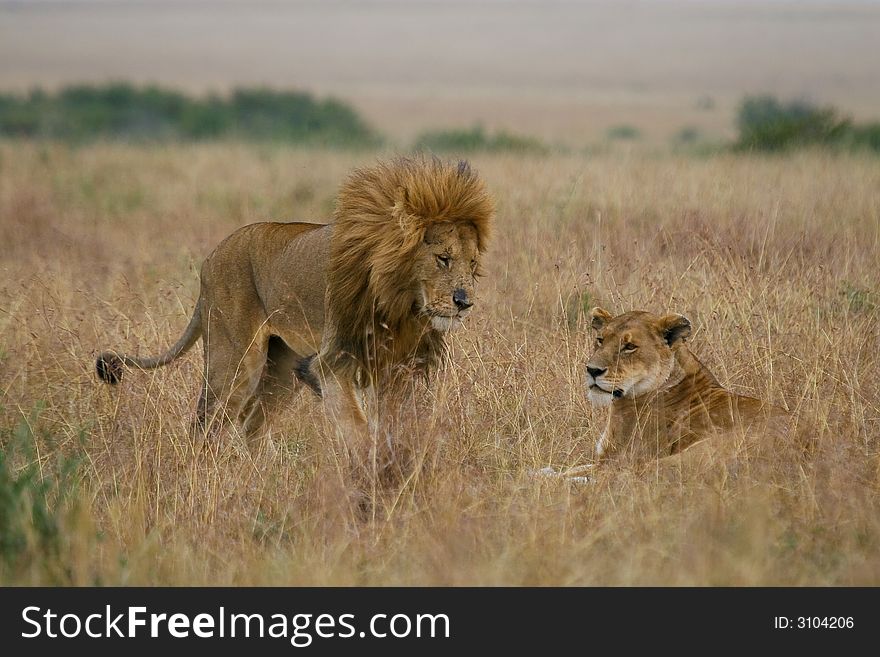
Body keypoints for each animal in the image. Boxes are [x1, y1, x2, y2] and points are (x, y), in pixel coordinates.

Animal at [98, 157, 496, 462]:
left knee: (252, 424)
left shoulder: (396, 367)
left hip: (283, 366)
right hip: (236, 359)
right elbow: (357, 424)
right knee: (208, 420)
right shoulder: (331, 361)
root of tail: (210, 259)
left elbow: (392, 425)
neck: (402, 305)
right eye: (443, 259)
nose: (465, 302)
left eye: (473, 264)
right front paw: (371, 470)